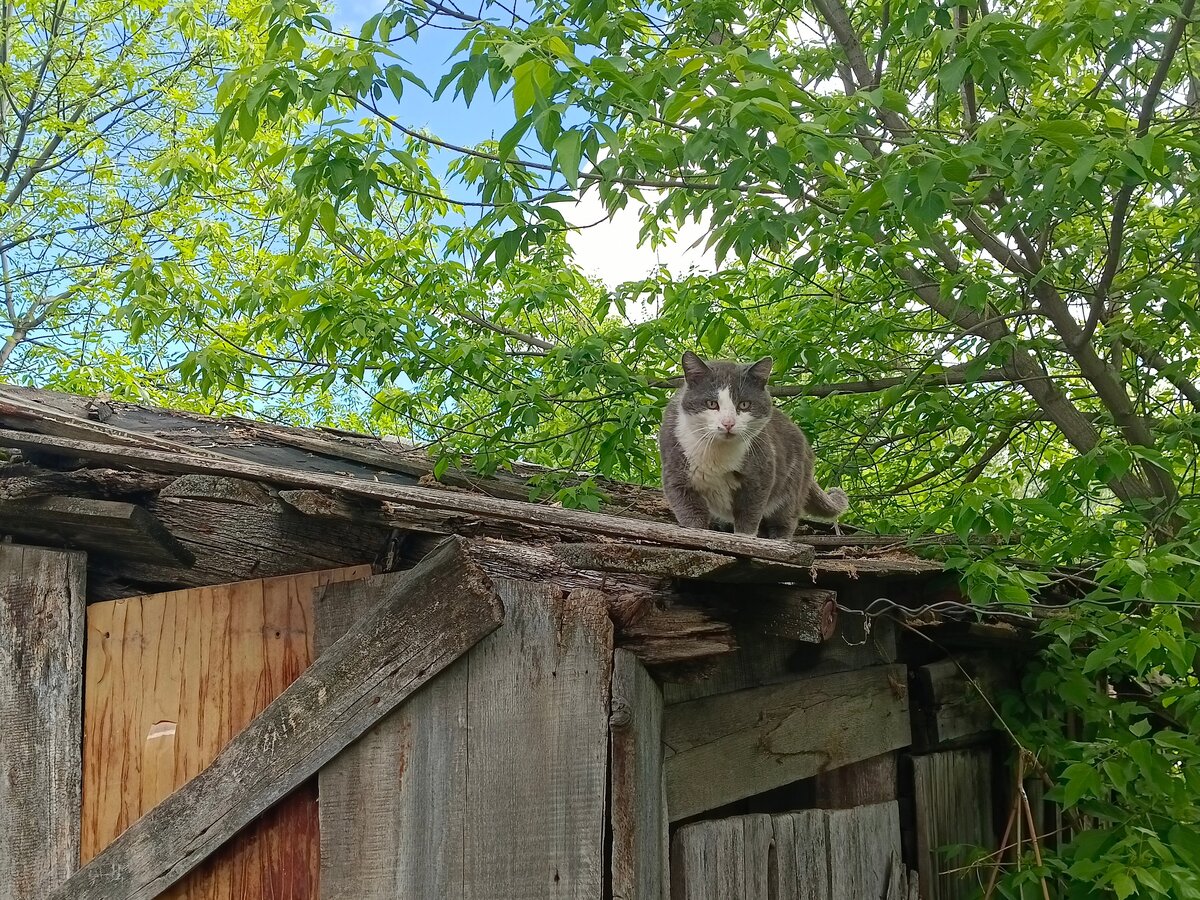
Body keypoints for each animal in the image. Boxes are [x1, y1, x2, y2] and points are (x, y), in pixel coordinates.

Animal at [662, 352, 849, 540]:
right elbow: (690, 513)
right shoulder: (676, 473)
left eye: (744, 404)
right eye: (711, 403)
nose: (728, 423)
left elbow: (749, 514)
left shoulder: (760, 472)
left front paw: (743, 538)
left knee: (784, 519)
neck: (716, 453)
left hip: (792, 485)